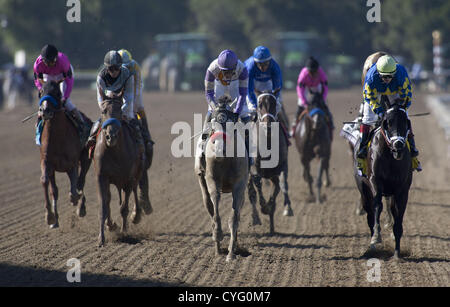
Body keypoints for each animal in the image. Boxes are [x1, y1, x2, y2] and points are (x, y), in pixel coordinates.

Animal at [38, 80, 92, 230]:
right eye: (41, 91)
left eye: (57, 92)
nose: (45, 110)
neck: (58, 137)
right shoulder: (47, 162)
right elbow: (47, 184)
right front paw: (50, 217)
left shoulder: (72, 163)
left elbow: (74, 189)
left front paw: (76, 200)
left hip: (85, 159)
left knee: (81, 181)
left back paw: (81, 207)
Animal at [93, 98, 144, 248]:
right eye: (103, 111)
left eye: (120, 110)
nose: (111, 136)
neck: (115, 152)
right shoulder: (101, 177)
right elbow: (103, 206)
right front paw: (101, 238)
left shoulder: (128, 178)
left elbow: (124, 208)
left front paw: (124, 232)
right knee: (109, 199)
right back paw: (111, 225)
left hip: (137, 172)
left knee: (135, 189)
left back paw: (136, 216)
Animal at [194, 96, 250, 262]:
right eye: (213, 124)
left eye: (231, 124)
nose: (219, 148)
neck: (226, 159)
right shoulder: (212, 180)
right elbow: (216, 204)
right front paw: (217, 235)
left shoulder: (239, 185)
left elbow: (234, 217)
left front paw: (231, 253)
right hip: (202, 181)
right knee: (209, 206)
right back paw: (218, 249)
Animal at [248, 90, 294, 235]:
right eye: (259, 104)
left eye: (274, 103)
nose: (268, 125)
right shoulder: (254, 168)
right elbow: (257, 183)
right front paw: (263, 207)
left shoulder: (278, 170)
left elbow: (278, 188)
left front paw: (272, 209)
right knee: (251, 192)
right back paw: (255, 218)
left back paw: (272, 228)